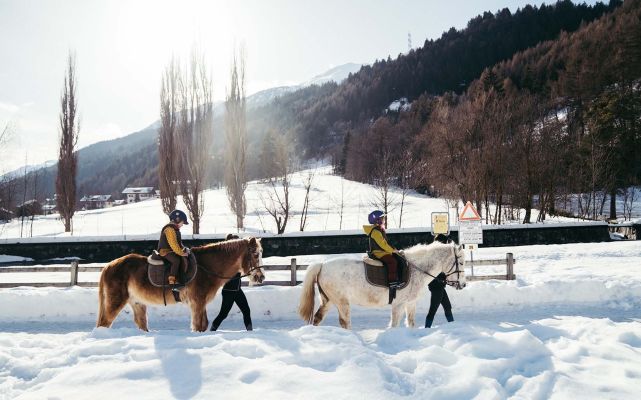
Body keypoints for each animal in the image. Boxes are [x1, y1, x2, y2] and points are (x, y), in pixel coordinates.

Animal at [95, 238, 264, 332]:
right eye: (256, 254)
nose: (261, 277)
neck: (206, 267)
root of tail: (109, 266)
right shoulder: (197, 303)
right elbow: (198, 326)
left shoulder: (200, 304)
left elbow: (204, 325)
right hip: (115, 302)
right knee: (104, 323)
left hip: (137, 303)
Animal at [298, 242, 468, 330]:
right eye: (461, 262)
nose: (463, 284)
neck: (415, 269)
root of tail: (322, 265)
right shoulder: (398, 304)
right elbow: (394, 324)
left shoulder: (410, 303)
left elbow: (411, 323)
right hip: (342, 302)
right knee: (345, 322)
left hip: (328, 300)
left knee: (318, 318)